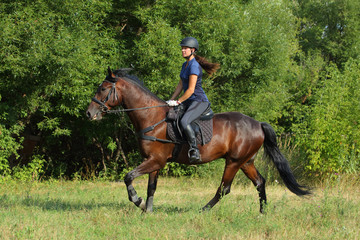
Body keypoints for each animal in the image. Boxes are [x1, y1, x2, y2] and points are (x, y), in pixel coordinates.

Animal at [86, 67, 310, 214]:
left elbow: (128, 177)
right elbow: (151, 187)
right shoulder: (153, 161)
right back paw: (262, 212)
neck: (151, 117)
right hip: (246, 161)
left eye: (103, 89)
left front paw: (137, 201)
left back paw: (203, 210)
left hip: (234, 162)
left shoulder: (156, 160)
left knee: (224, 188)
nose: (89, 114)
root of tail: (257, 123)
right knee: (260, 182)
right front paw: (147, 210)